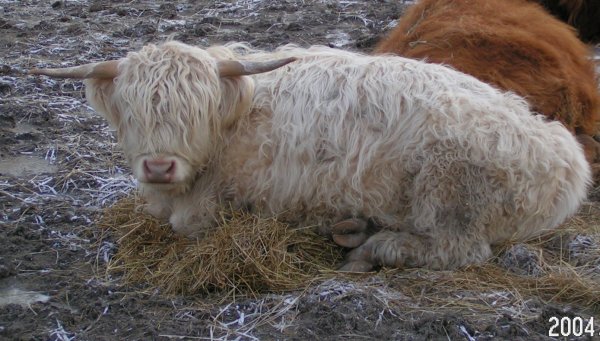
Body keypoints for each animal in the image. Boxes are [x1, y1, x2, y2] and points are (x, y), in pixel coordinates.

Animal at [31, 40, 592, 270]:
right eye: (133, 109)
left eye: (195, 109)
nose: (158, 165)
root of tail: (566, 158)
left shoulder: (212, 205)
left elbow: (184, 225)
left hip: (449, 188)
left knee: (459, 249)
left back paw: (373, 248)